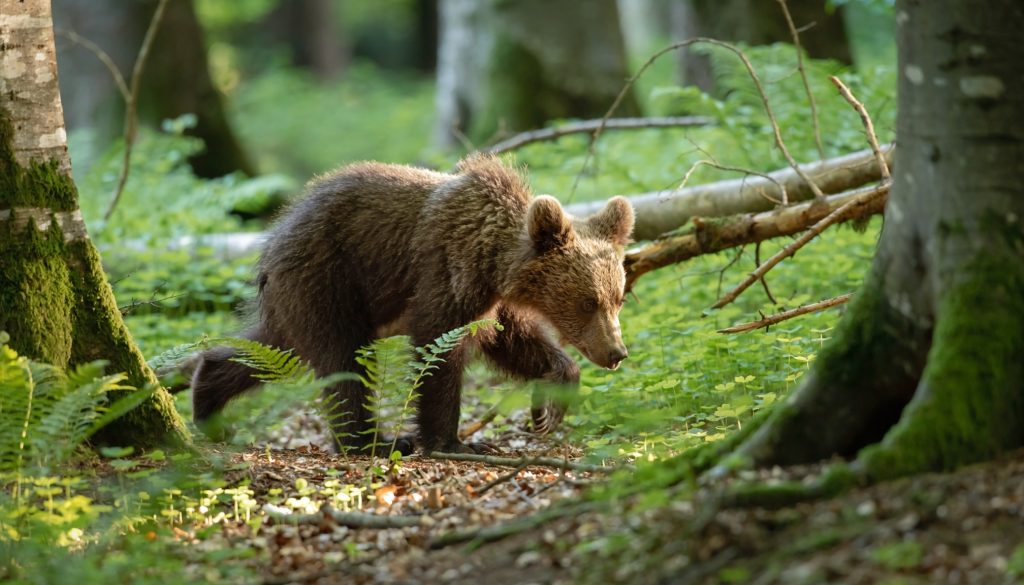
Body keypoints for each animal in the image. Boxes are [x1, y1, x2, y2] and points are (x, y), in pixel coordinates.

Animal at [190, 154, 634, 454]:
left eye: (617, 298)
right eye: (587, 301)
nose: (616, 352)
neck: (493, 262)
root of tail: (274, 234)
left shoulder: (490, 303)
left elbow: (512, 341)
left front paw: (550, 403)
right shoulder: (446, 273)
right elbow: (437, 349)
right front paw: (452, 441)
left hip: (303, 295)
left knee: (272, 346)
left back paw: (207, 403)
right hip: (329, 276)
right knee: (341, 359)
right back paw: (375, 441)